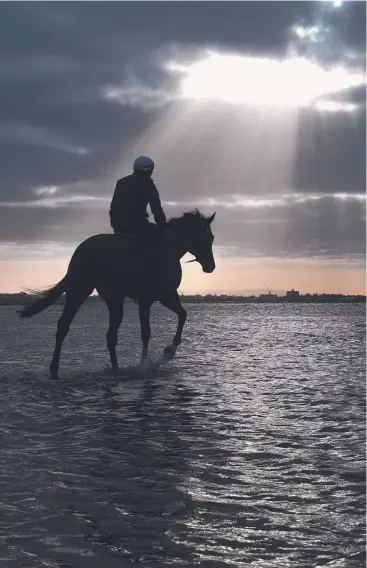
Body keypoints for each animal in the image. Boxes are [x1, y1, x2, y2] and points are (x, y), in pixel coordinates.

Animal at [19, 210, 216, 378]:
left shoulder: (147, 300)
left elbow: (150, 331)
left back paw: (56, 368)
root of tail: (84, 251)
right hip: (114, 298)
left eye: (212, 237)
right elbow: (179, 316)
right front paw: (167, 351)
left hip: (79, 291)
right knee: (110, 335)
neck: (168, 248)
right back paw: (115, 368)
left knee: (65, 326)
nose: (211, 266)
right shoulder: (164, 295)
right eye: (204, 236)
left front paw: (148, 360)